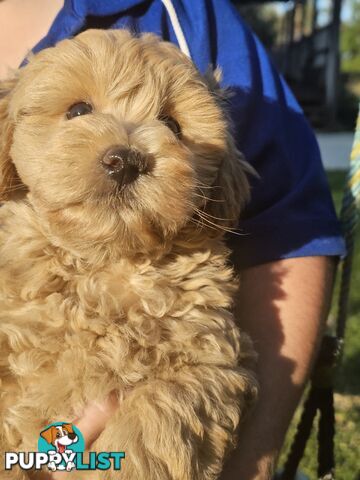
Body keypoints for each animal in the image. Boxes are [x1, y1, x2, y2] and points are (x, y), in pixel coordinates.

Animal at [0, 30, 258, 480]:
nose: (125, 160)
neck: (103, 265)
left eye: (172, 125)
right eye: (78, 110)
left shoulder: (216, 357)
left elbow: (162, 404)